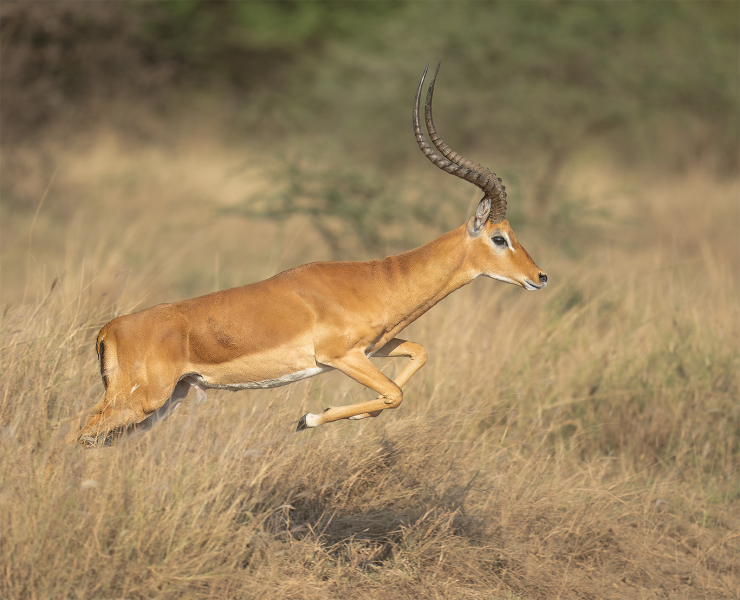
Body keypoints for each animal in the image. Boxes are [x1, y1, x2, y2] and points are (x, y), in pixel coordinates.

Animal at [73, 63, 547, 445]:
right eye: (500, 238)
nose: (540, 277)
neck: (380, 281)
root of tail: (110, 329)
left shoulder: (373, 350)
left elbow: (417, 356)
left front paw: (328, 416)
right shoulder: (340, 357)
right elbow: (394, 393)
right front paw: (309, 418)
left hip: (166, 401)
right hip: (138, 402)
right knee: (77, 434)